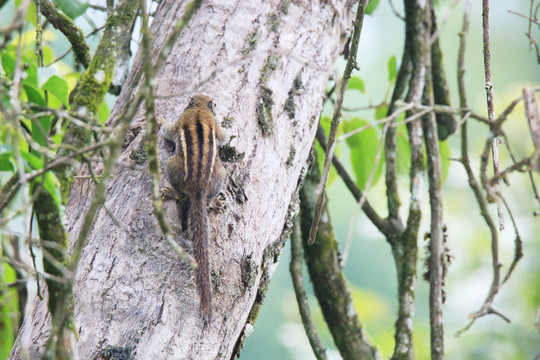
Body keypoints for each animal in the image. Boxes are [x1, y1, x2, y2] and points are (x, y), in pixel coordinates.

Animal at [160, 94, 228, 322]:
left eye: (190, 99)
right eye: (212, 102)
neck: (199, 109)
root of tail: (198, 187)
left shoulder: (179, 121)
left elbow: (167, 130)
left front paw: (160, 120)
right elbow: (223, 135)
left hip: (172, 164)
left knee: (181, 194)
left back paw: (171, 193)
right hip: (220, 174)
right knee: (208, 200)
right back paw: (215, 203)